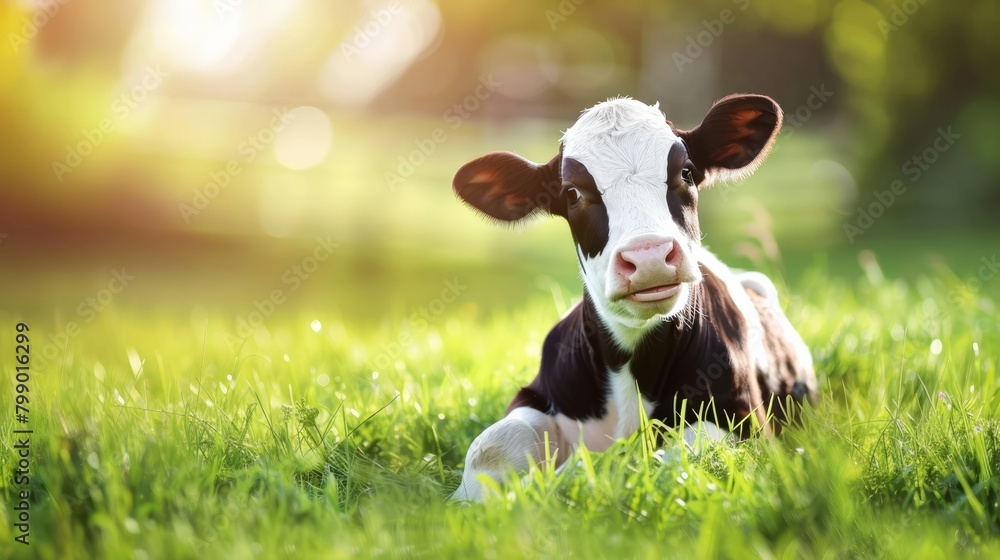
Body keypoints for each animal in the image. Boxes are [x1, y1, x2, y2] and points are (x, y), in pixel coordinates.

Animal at [450, 94, 816, 500]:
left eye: (686, 172)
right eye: (572, 193)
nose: (649, 256)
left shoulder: (742, 419)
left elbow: (684, 456)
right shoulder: (538, 394)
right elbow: (493, 443)